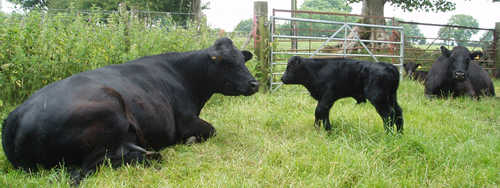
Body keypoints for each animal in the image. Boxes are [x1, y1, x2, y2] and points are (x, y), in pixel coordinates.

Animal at [3, 37, 260, 183]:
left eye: (242, 60)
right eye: (227, 62)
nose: (254, 84)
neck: (185, 77)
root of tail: (14, 117)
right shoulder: (186, 120)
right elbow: (212, 130)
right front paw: (190, 140)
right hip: (109, 111)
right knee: (88, 167)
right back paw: (149, 155)